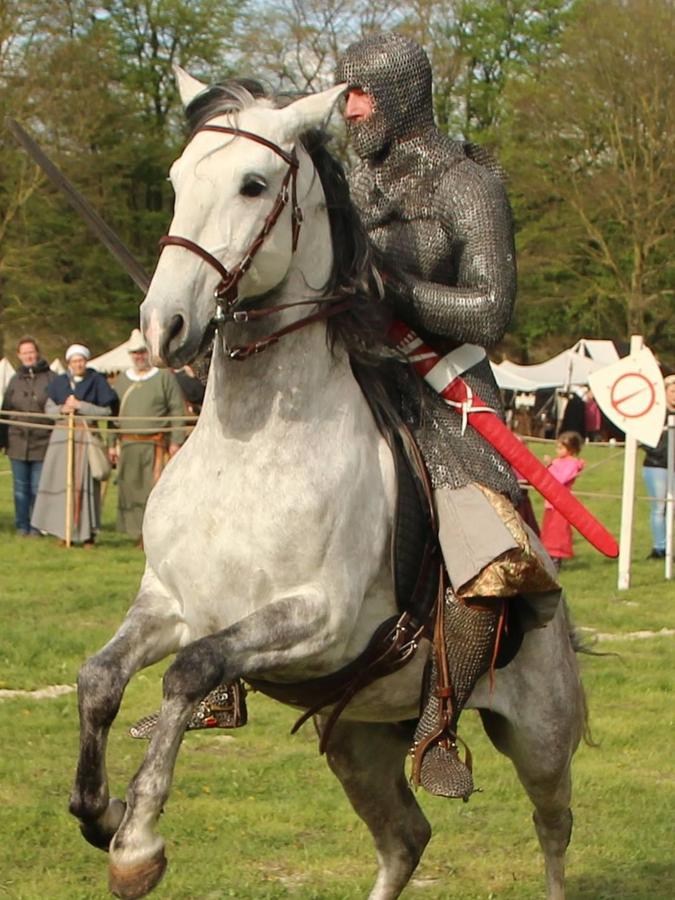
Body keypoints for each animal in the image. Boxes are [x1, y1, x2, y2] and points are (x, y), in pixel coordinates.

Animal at [68, 74, 588, 900]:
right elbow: (98, 680)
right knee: (405, 837)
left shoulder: (318, 620)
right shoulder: (172, 604)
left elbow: (188, 672)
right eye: (178, 182)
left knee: (553, 832)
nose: (161, 327)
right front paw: (102, 810)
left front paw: (136, 841)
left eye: (253, 185)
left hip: (539, 737)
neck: (252, 451)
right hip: (358, 741)